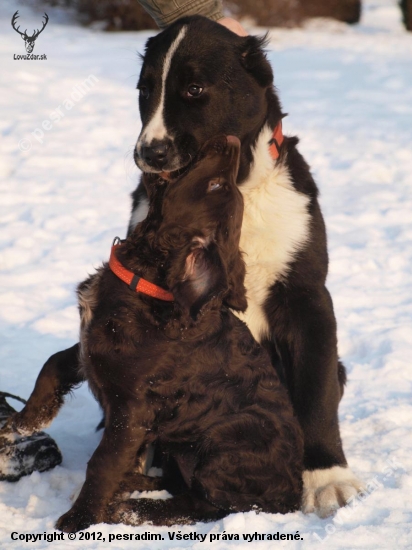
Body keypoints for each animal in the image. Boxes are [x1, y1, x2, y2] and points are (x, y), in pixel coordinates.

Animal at [55, 137, 302, 536]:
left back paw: (131, 509)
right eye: (220, 186)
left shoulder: (132, 408)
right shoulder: (95, 355)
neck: (146, 284)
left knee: (206, 504)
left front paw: (78, 519)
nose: (232, 141)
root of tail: (294, 495)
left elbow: (103, 462)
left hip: (226, 438)